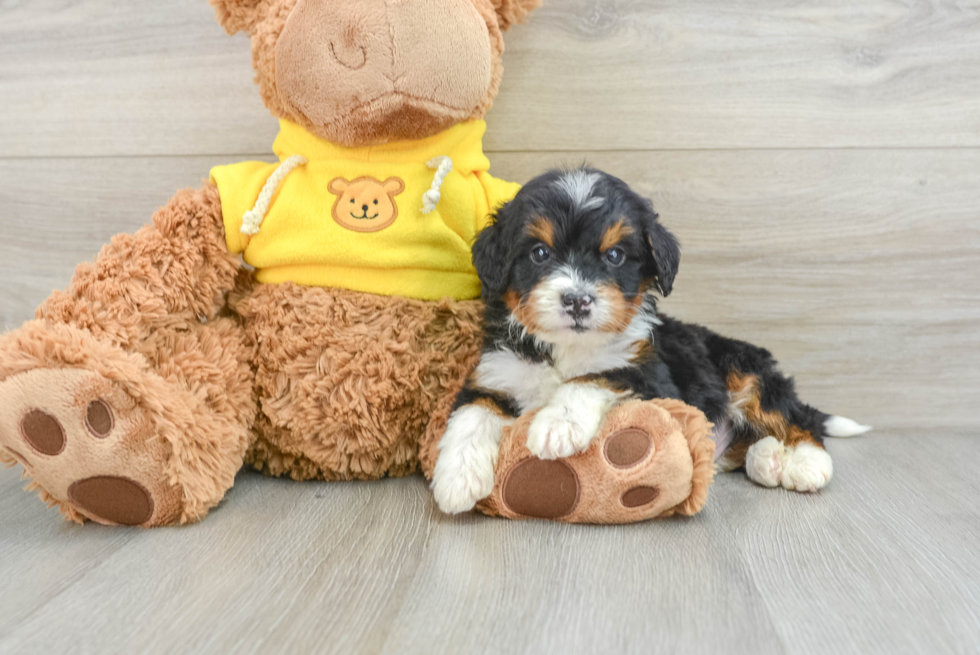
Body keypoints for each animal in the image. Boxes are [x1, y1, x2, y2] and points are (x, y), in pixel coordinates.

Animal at [432, 167, 868, 516]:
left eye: (614, 256)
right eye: (539, 253)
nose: (577, 301)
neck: (565, 348)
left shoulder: (650, 374)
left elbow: (593, 377)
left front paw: (557, 425)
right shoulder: (497, 372)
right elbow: (471, 413)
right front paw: (456, 478)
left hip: (744, 371)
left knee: (797, 419)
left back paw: (805, 463)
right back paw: (767, 459)